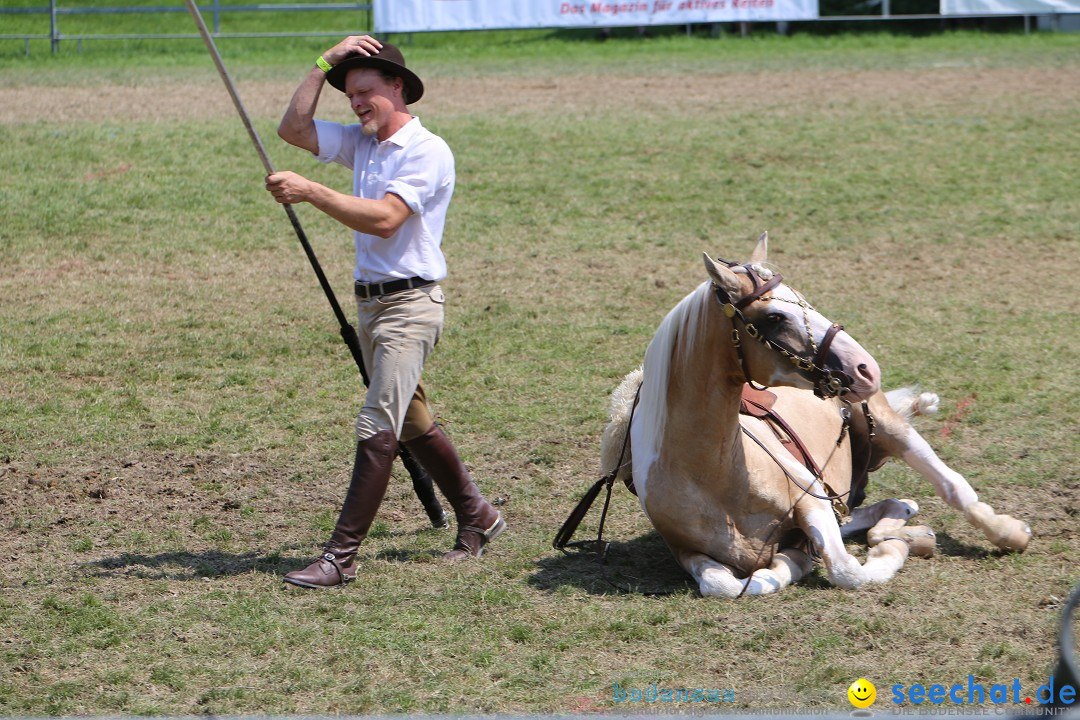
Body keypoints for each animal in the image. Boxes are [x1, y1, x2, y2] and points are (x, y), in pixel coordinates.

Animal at [600, 235, 1028, 595]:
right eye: (774, 317)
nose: (865, 368)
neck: (713, 475)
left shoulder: (812, 500)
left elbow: (845, 570)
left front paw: (887, 553)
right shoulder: (686, 552)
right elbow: (729, 584)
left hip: (887, 427)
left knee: (951, 485)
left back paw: (1006, 531)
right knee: (888, 509)